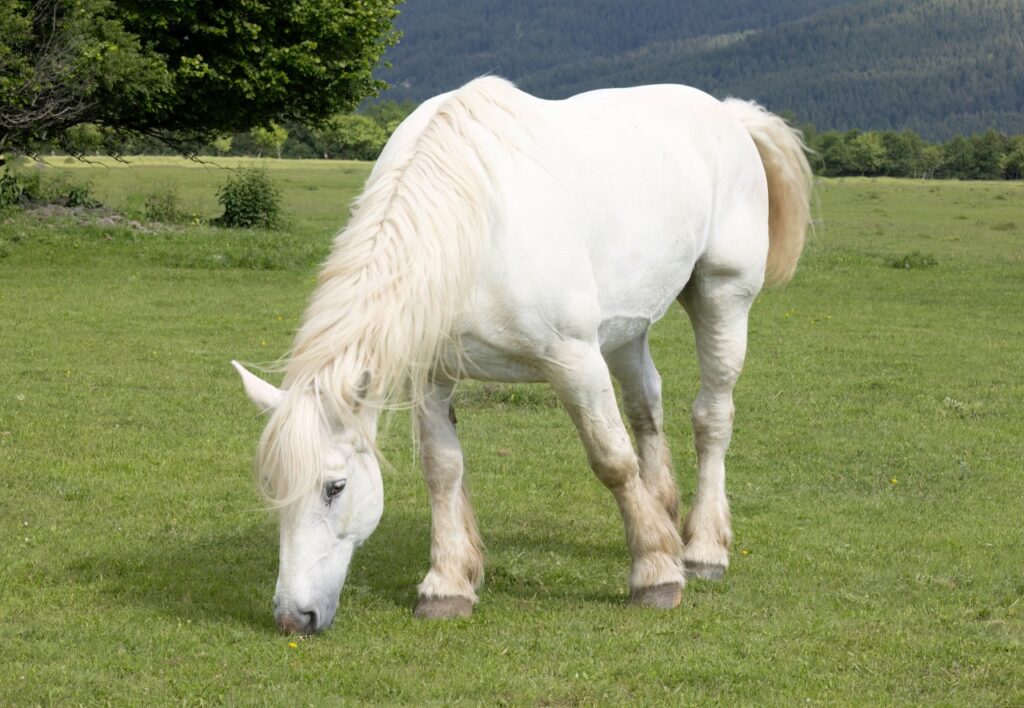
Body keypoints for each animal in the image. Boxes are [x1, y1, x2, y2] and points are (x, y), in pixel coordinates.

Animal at [233, 76, 812, 635]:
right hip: (627, 327)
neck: (474, 224)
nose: (293, 617)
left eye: (335, 487)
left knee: (711, 417)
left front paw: (654, 573)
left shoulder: (575, 360)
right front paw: (447, 584)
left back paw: (703, 548)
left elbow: (612, 459)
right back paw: (664, 515)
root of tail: (727, 112)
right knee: (647, 407)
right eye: (272, 486)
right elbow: (442, 469)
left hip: (722, 296)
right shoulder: (431, 374)